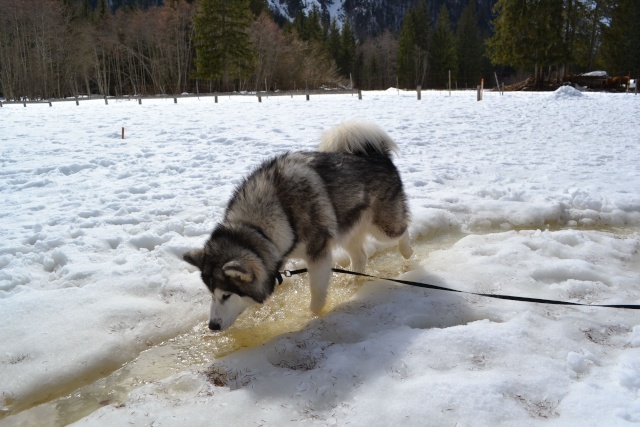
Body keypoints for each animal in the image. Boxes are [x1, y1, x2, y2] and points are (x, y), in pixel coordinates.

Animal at [184, 122, 416, 332]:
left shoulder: (318, 255)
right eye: (211, 294)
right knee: (360, 257)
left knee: (402, 228)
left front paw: (311, 317)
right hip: (346, 228)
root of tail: (375, 153)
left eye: (226, 295)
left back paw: (406, 251)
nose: (212, 326)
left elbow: (317, 294)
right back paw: (353, 283)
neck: (260, 227)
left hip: (382, 226)